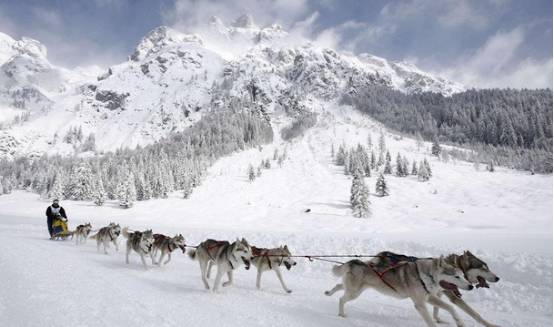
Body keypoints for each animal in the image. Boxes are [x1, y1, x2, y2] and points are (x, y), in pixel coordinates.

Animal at [324, 252, 470, 326]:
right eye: (456, 276)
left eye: (463, 275)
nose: (471, 286)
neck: (424, 275)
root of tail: (354, 262)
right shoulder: (420, 304)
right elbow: (431, 321)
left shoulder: (429, 298)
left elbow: (451, 308)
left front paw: (460, 322)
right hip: (354, 293)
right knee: (341, 299)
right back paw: (341, 314)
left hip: (355, 289)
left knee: (339, 286)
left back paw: (329, 293)